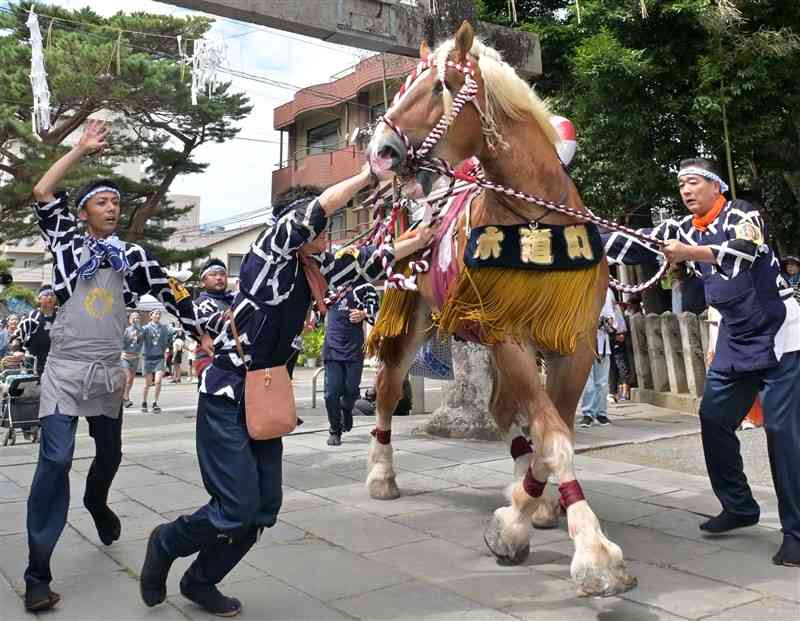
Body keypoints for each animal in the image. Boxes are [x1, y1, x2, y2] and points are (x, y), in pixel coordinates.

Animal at [364, 21, 636, 600]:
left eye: (439, 86)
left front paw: (531, 508)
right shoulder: (507, 331)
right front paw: (588, 551)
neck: (536, 218)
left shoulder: (576, 340)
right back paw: (381, 476)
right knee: (389, 392)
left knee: (502, 411)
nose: (380, 151)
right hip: (419, 317)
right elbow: (553, 437)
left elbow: (555, 428)